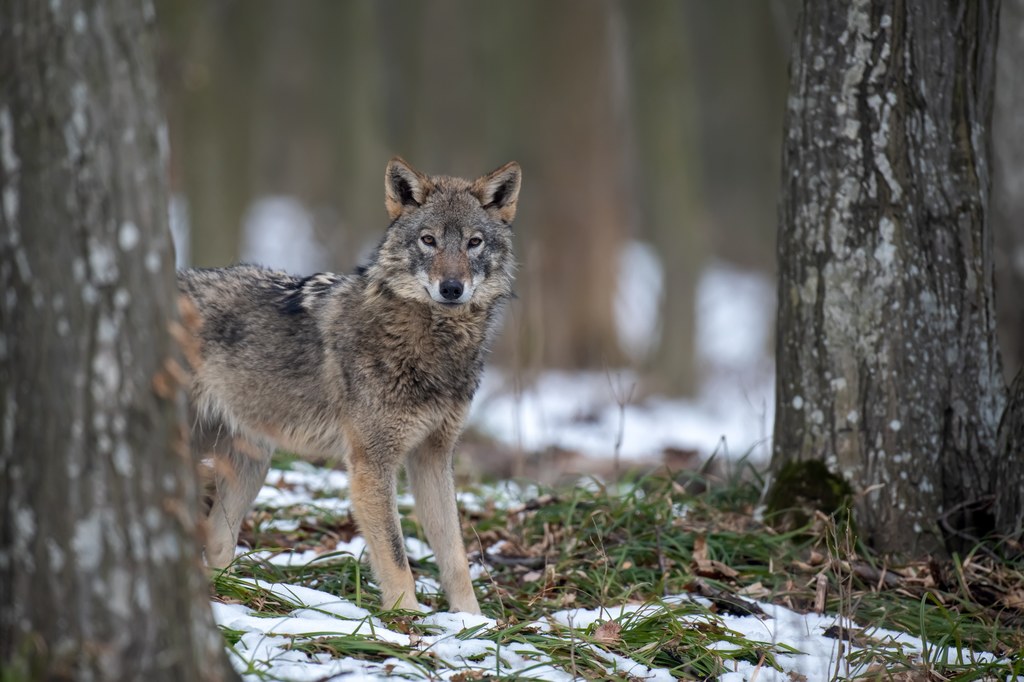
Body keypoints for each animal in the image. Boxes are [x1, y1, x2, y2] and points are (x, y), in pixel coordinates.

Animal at [176, 157, 520, 610]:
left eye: (474, 243)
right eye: (428, 240)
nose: (451, 288)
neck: (434, 343)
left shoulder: (433, 457)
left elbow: (456, 556)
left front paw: (470, 621)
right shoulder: (370, 464)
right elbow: (396, 556)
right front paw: (407, 620)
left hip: (253, 462)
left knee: (217, 540)